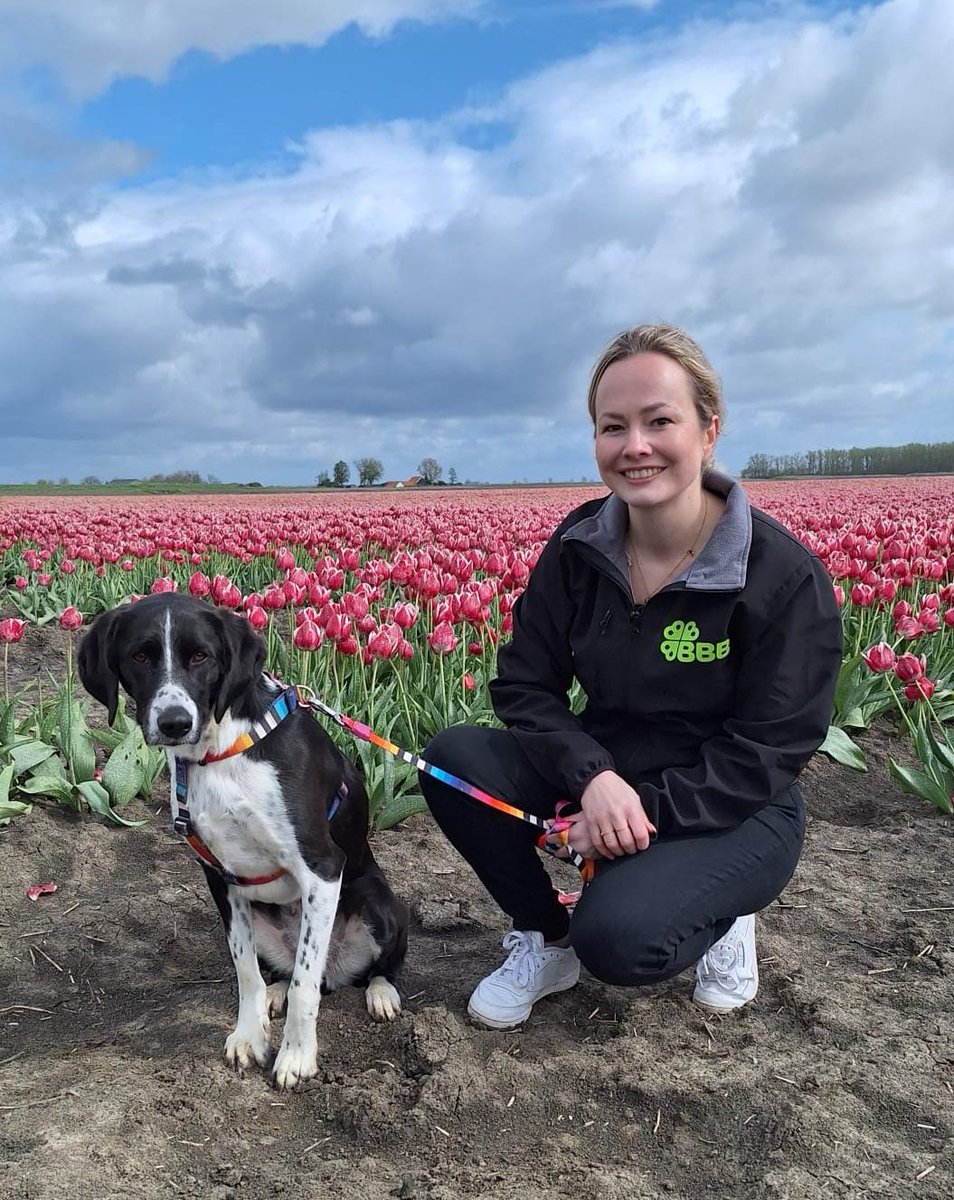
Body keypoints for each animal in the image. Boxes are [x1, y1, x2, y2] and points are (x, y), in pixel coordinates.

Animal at [80, 595, 408, 1094]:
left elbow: (305, 985)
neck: (221, 752)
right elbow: (246, 971)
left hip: (378, 901)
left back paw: (381, 994)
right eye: (140, 656)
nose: (174, 723)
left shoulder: (321, 868)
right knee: (285, 972)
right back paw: (275, 994)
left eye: (201, 656)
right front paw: (251, 1037)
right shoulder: (222, 877)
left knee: (358, 970)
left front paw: (297, 1057)